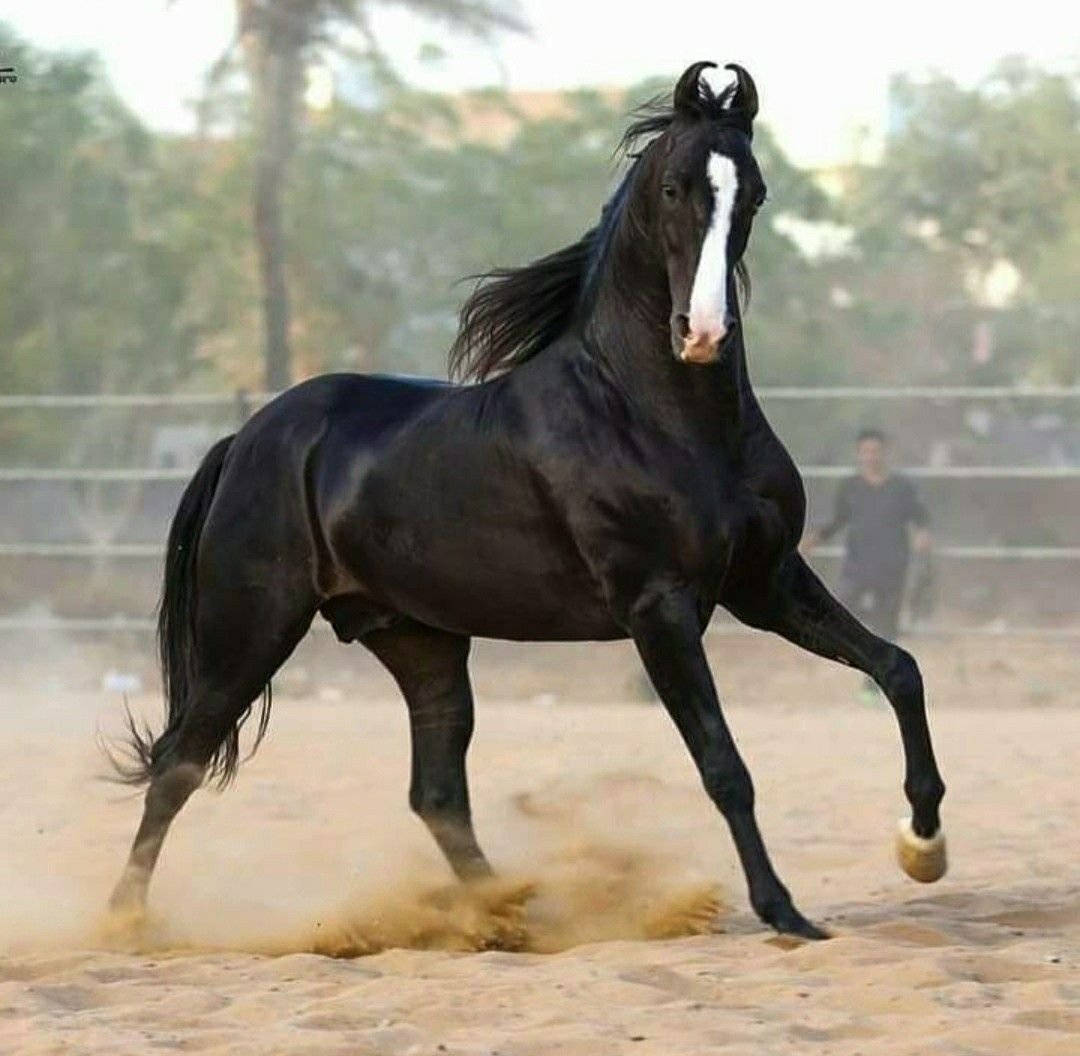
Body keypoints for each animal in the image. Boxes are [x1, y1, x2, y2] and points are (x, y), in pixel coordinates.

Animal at [109, 62, 947, 940]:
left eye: (751, 193)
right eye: (675, 188)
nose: (703, 332)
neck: (656, 415)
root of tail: (246, 438)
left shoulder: (765, 582)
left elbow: (899, 668)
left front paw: (922, 845)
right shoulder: (661, 609)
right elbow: (725, 766)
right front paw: (784, 911)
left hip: (420, 641)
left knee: (436, 792)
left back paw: (510, 915)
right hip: (250, 629)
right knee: (178, 764)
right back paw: (122, 923)